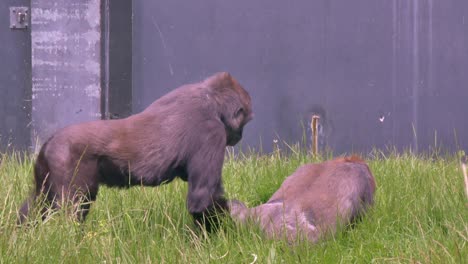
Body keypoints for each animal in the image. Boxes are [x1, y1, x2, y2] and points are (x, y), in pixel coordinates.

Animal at [18, 71, 254, 230]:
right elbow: (202, 198)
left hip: (47, 166)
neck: (210, 98)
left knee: (38, 204)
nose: (240, 136)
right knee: (71, 211)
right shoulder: (212, 132)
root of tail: (49, 142)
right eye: (244, 122)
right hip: (65, 159)